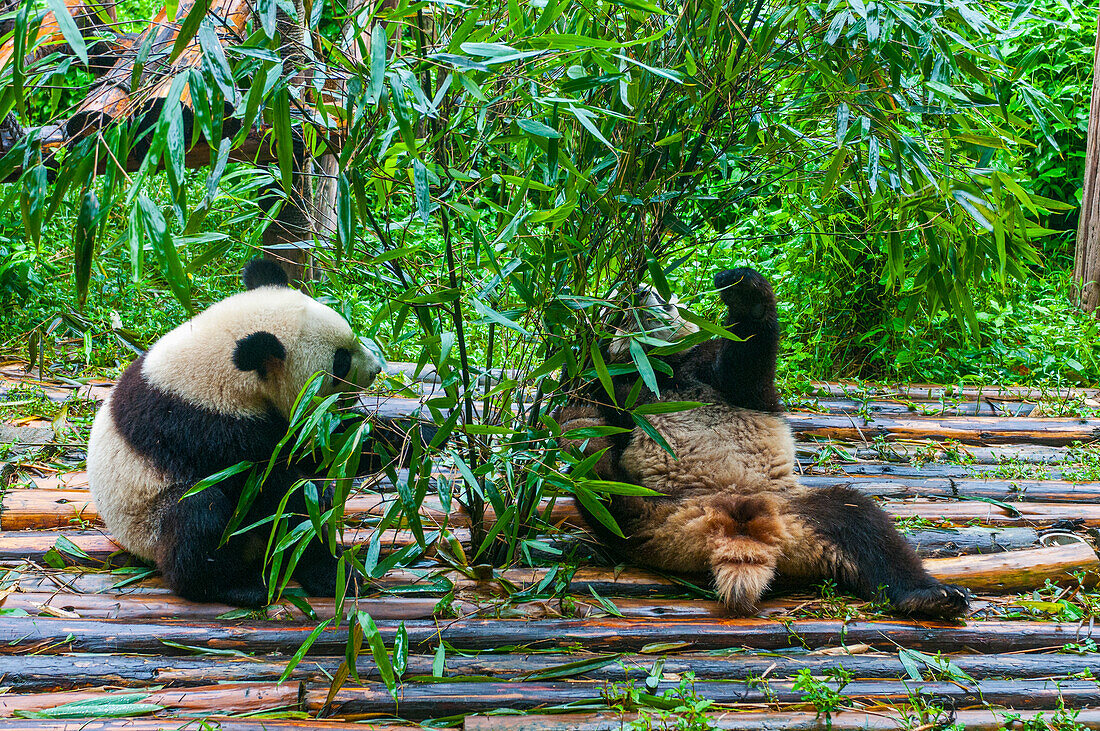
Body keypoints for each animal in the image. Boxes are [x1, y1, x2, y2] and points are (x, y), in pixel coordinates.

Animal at [558, 268, 972, 615]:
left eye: (658, 292)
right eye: (617, 311)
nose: (642, 292)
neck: (661, 366)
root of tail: (735, 529)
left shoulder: (712, 371)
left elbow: (746, 362)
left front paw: (744, 293)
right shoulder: (617, 386)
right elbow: (585, 397)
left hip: (798, 510)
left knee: (866, 526)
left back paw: (931, 596)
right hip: (655, 517)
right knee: (606, 497)